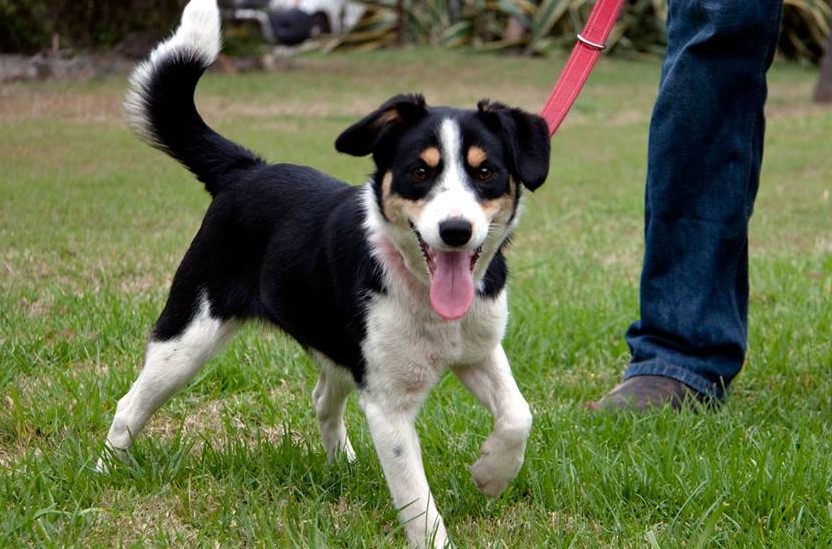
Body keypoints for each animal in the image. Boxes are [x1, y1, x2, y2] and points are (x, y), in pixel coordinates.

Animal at [97, 1, 548, 544]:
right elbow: (418, 502)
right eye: (420, 171)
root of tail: (246, 169)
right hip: (186, 338)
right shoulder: (388, 404)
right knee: (129, 404)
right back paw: (103, 473)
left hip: (334, 343)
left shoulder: (479, 351)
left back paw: (342, 465)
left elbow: (518, 415)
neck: (420, 288)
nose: (456, 230)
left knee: (321, 398)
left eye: (485, 172)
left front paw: (491, 473)